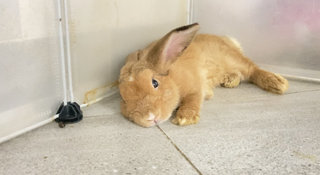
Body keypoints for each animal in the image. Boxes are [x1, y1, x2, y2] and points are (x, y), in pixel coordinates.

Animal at [117, 22, 288, 127]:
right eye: (124, 99)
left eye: (155, 83)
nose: (150, 117)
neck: (173, 79)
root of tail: (227, 41)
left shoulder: (195, 86)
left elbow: (193, 99)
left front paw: (185, 118)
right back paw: (230, 81)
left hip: (233, 59)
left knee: (252, 69)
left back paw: (278, 83)